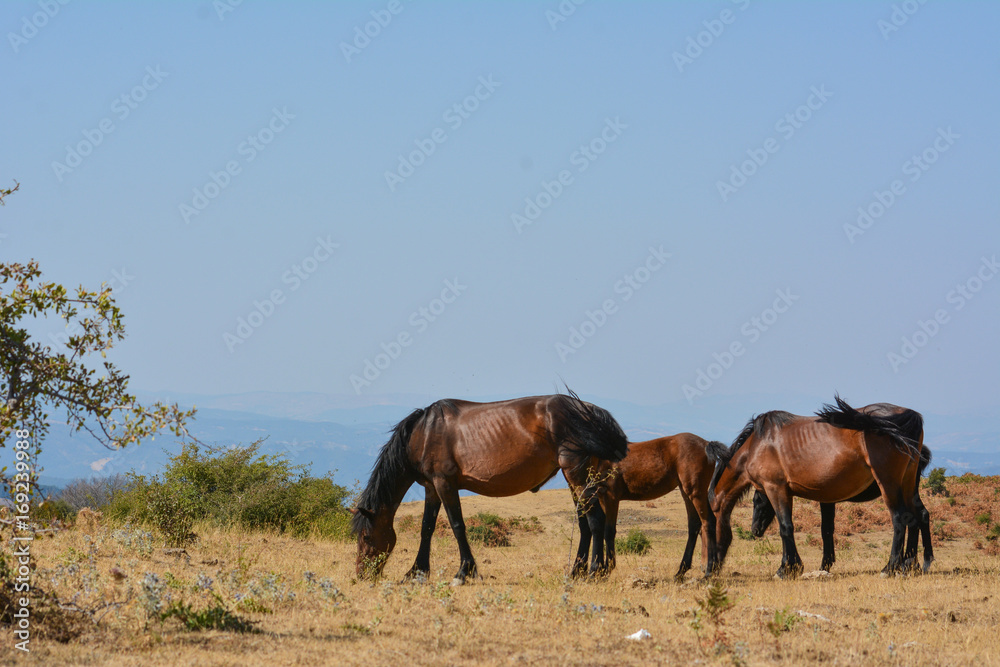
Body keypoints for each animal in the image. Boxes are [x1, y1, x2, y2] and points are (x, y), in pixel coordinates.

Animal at [352, 392, 628, 584]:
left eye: (366, 537)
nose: (361, 574)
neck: (424, 433)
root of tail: (589, 411)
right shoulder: (432, 487)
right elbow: (426, 528)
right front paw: (416, 572)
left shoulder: (444, 483)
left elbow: (457, 526)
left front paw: (464, 572)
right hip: (574, 478)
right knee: (584, 523)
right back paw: (576, 572)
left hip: (576, 474)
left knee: (595, 519)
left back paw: (594, 571)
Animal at [572, 434, 720, 580]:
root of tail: (706, 444)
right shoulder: (601, 498)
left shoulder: (610, 498)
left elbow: (608, 531)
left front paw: (606, 569)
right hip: (686, 492)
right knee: (695, 524)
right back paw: (682, 572)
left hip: (696, 492)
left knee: (708, 522)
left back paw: (709, 571)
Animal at [708, 396, 916, 580]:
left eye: (756, 502)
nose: (709, 569)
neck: (757, 444)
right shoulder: (786, 492)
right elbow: (789, 527)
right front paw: (790, 566)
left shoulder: (775, 488)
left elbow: (785, 527)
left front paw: (787, 569)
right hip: (908, 483)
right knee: (912, 518)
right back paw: (909, 565)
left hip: (888, 484)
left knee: (898, 519)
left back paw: (890, 567)